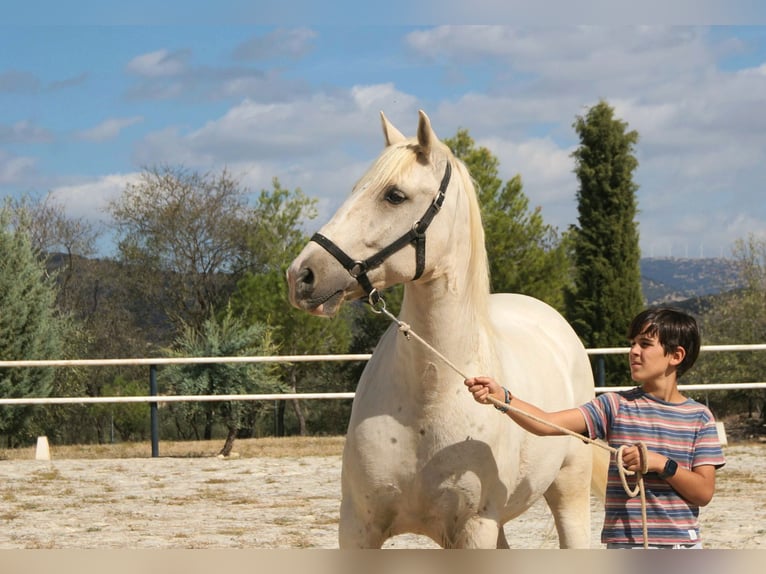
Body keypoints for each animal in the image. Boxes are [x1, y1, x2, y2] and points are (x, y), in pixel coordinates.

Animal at [286, 111, 608, 548]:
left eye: (394, 195)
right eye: (356, 189)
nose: (302, 275)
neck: (431, 394)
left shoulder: (473, 528)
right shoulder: (357, 527)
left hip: (568, 490)